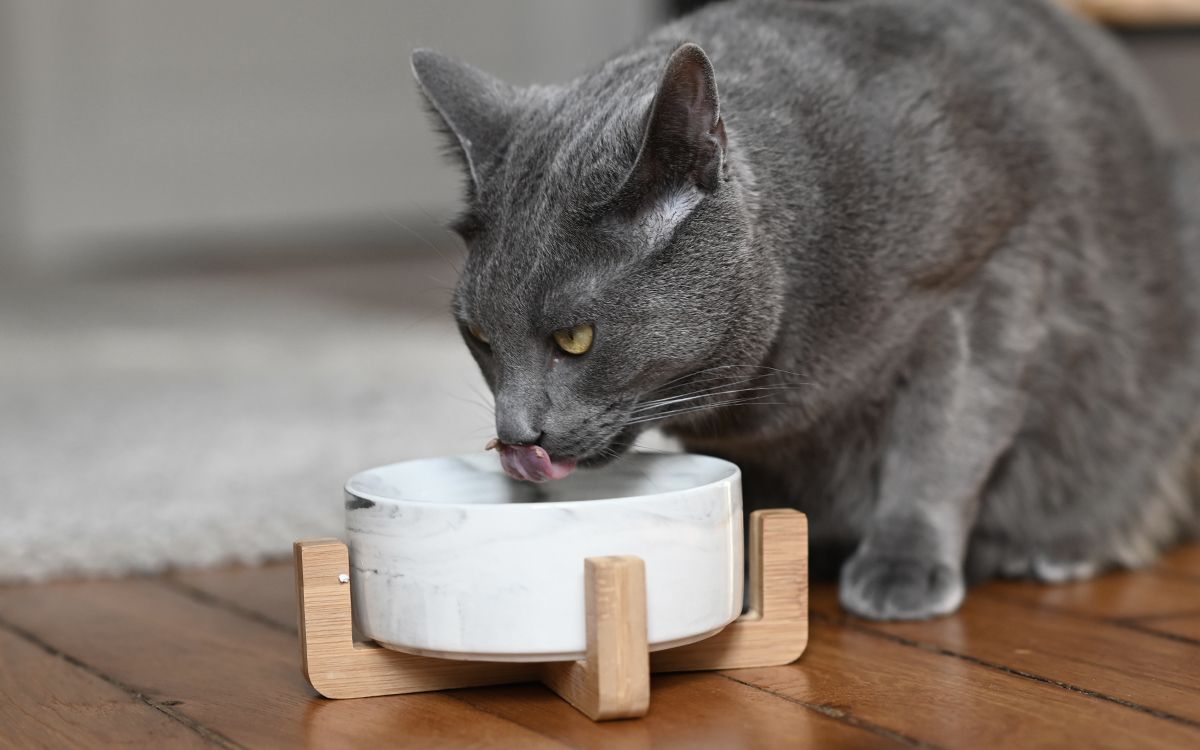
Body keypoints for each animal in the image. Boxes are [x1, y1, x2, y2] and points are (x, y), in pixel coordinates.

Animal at [415, 0, 1200, 619]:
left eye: (575, 338)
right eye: (479, 337)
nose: (516, 434)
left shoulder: (987, 281)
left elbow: (940, 442)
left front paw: (903, 568)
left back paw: (1065, 549)